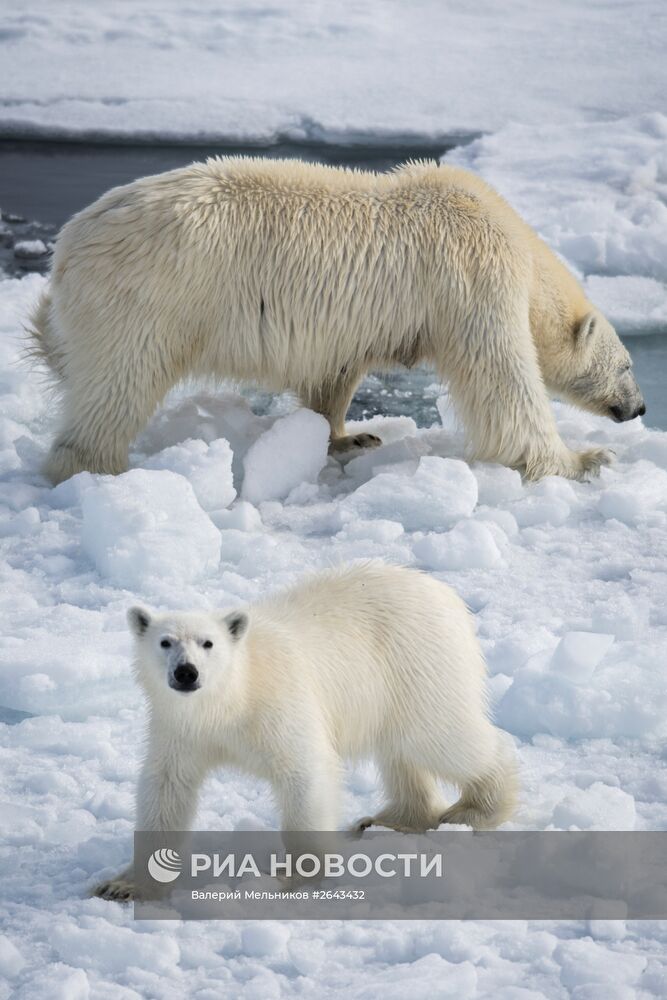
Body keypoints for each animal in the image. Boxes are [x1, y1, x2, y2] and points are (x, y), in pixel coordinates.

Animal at [32, 156, 648, 484]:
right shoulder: (472, 278)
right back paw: (97, 468)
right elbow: (504, 380)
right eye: (628, 365)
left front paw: (349, 436)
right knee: (121, 382)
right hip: (147, 298)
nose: (640, 407)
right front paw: (586, 458)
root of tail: (67, 246)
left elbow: (332, 377)